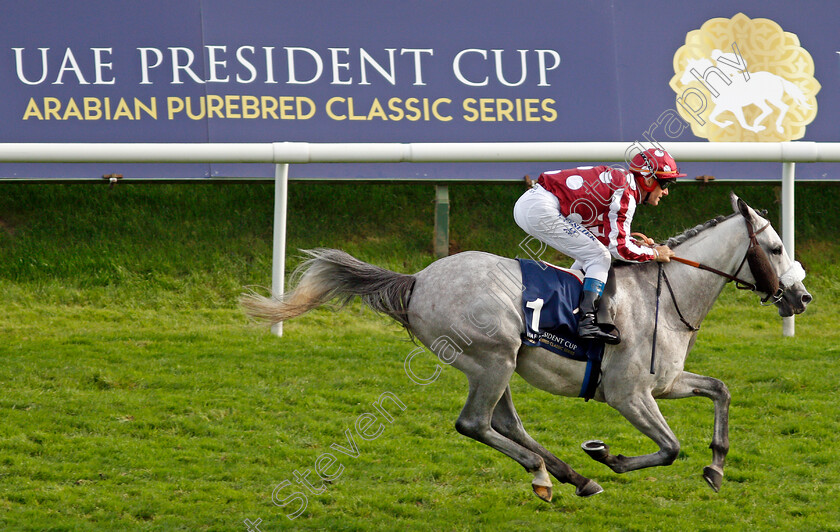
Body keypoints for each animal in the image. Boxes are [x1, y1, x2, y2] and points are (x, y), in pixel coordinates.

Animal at [241, 194, 808, 502]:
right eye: (776, 247)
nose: (802, 296)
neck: (664, 297)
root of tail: (418, 279)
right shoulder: (628, 394)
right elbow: (669, 448)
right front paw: (609, 454)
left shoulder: (665, 384)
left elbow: (720, 389)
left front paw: (716, 467)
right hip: (492, 357)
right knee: (474, 423)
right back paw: (553, 473)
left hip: (496, 363)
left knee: (504, 422)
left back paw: (570, 476)